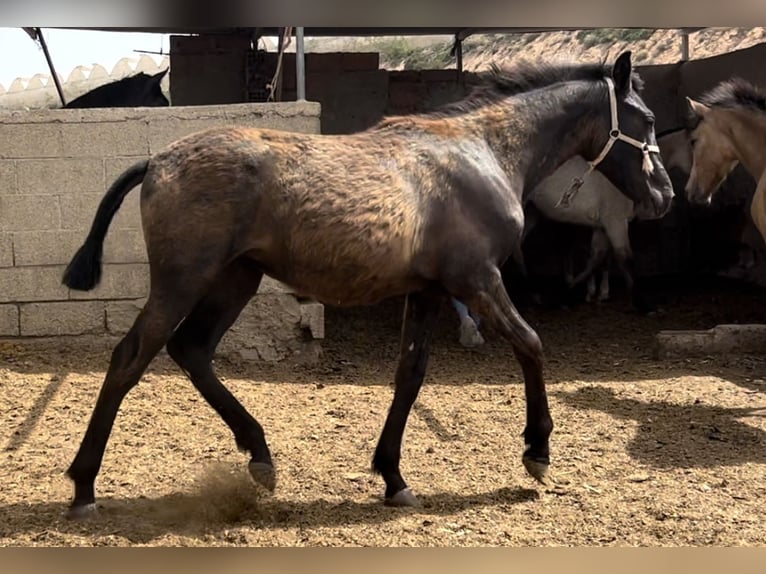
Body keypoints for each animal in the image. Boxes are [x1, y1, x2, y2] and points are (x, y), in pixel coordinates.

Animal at [58, 51, 672, 520]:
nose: (664, 194)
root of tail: (157, 160)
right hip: (183, 281)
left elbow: (410, 375)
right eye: (643, 119)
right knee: (132, 357)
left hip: (236, 278)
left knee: (192, 350)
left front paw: (394, 477)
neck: (484, 151)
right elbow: (531, 345)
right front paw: (537, 450)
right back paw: (85, 487)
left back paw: (260, 457)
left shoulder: (429, 290)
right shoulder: (477, 278)